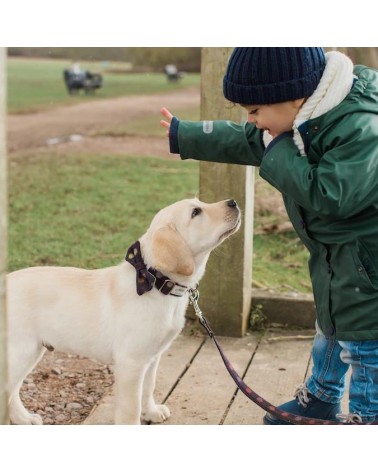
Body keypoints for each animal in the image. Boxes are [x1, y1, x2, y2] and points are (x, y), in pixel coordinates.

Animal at [5, 197, 239, 426]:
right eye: (195, 212)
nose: (234, 202)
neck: (155, 283)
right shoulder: (131, 362)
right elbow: (130, 408)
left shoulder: (152, 357)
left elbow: (148, 387)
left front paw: (151, 412)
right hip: (21, 351)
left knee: (13, 390)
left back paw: (24, 418)